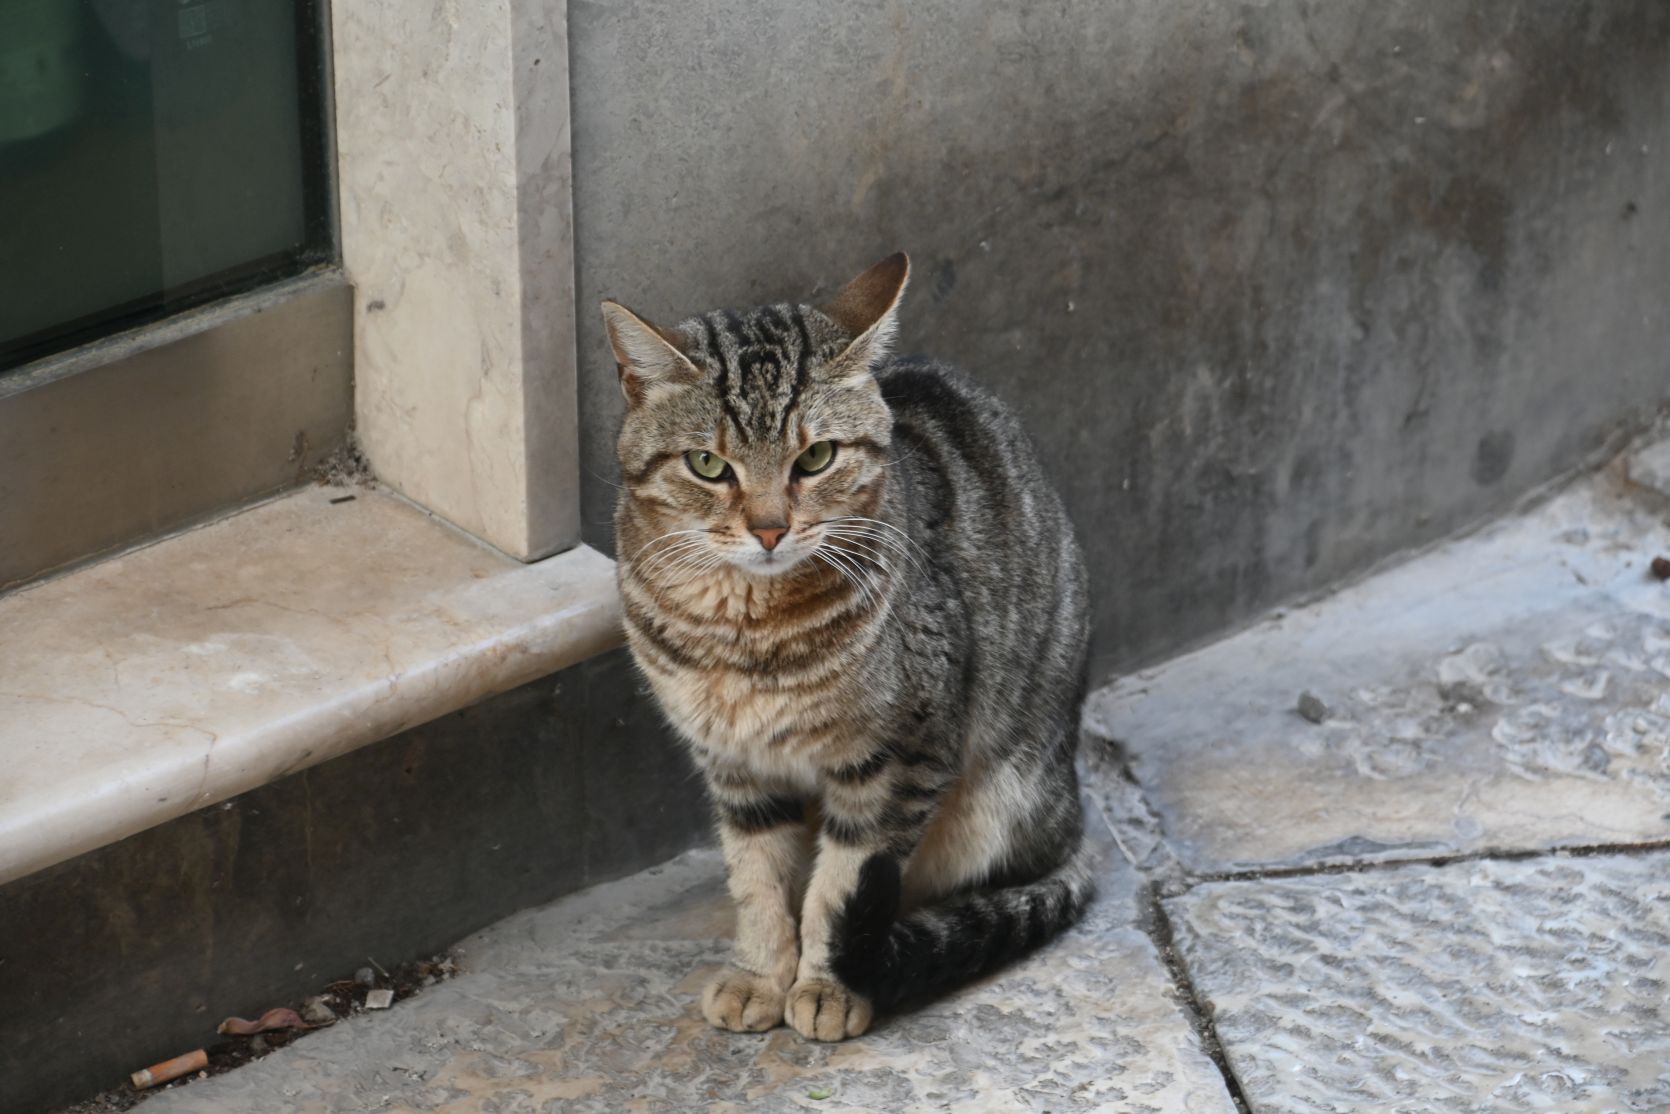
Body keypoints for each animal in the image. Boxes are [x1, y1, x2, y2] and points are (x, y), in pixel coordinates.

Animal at [605, 252, 1092, 1041]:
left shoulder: (899, 758)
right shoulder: (735, 765)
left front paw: (827, 985)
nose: (769, 528)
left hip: (1002, 802)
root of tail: (1076, 816)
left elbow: (842, 883)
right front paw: (760, 974)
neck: (745, 632)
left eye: (817, 458)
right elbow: (758, 878)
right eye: (708, 464)